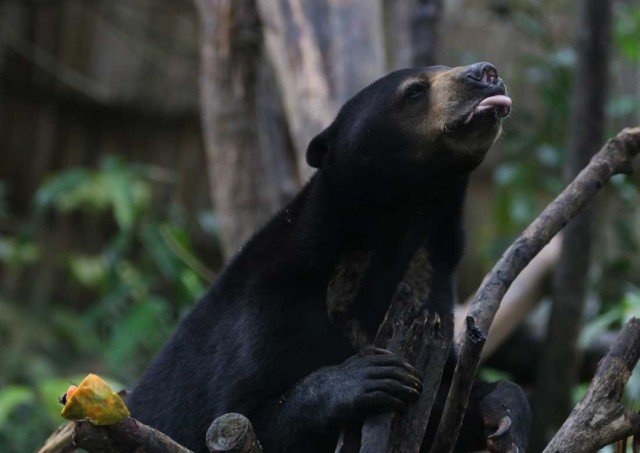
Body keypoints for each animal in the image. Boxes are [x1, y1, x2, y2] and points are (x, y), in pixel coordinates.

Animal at [127, 61, 532, 450]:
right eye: (415, 90)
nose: (487, 73)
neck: (396, 230)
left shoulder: (432, 296)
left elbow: (451, 398)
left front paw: (505, 417)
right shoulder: (263, 310)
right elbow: (238, 413)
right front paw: (371, 375)